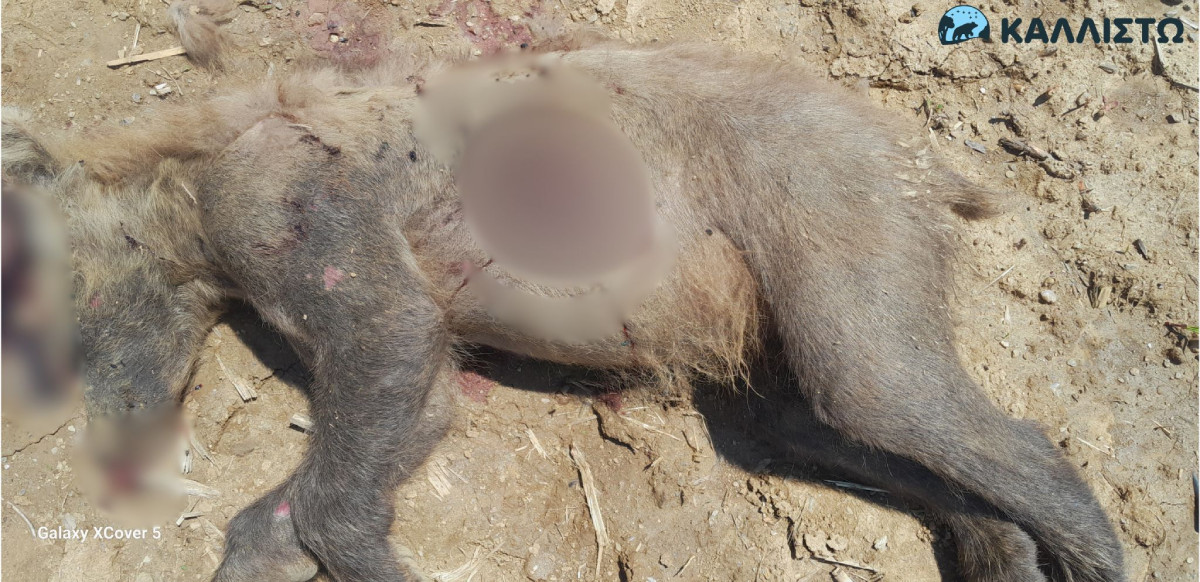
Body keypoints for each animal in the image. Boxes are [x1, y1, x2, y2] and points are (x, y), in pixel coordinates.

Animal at [0, 6, 1125, 582]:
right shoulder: (407, 364)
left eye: (69, 320)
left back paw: (1085, 557)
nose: (115, 431)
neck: (187, 179)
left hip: (831, 205)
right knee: (846, 431)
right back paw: (999, 550)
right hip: (776, 357)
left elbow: (378, 373)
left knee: (916, 402)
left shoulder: (306, 220)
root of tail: (922, 159)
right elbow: (390, 430)